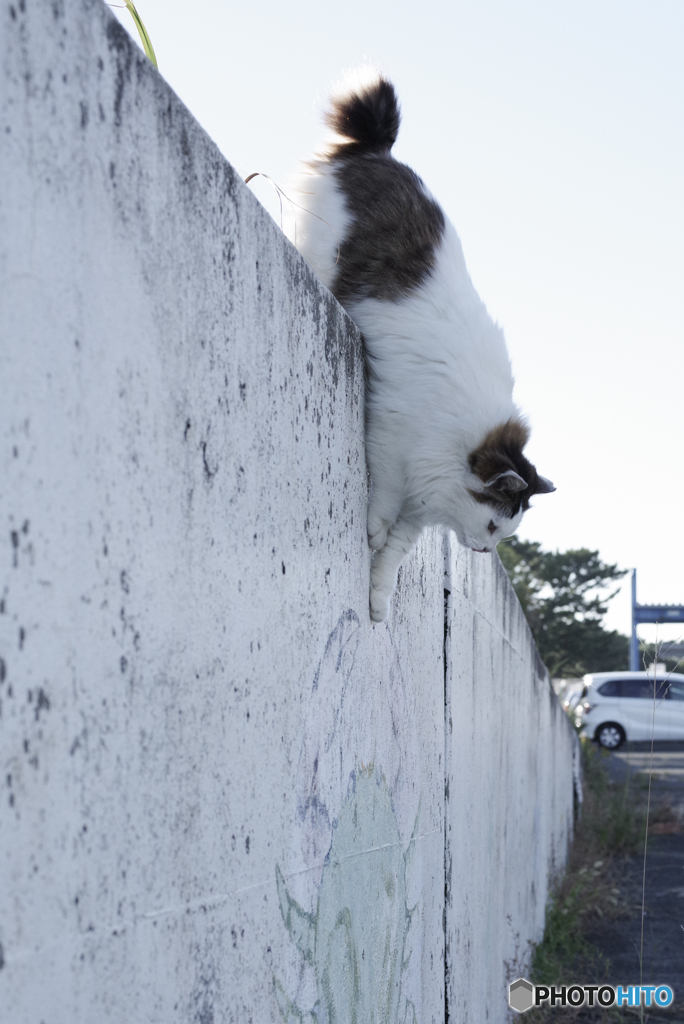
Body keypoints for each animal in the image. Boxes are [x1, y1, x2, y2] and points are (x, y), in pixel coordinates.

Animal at [286, 72, 552, 618]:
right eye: (493, 526)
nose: (483, 550)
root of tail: (380, 151)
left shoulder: (419, 504)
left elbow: (392, 558)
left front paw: (377, 602)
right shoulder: (392, 441)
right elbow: (384, 504)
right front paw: (370, 531)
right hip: (320, 247)